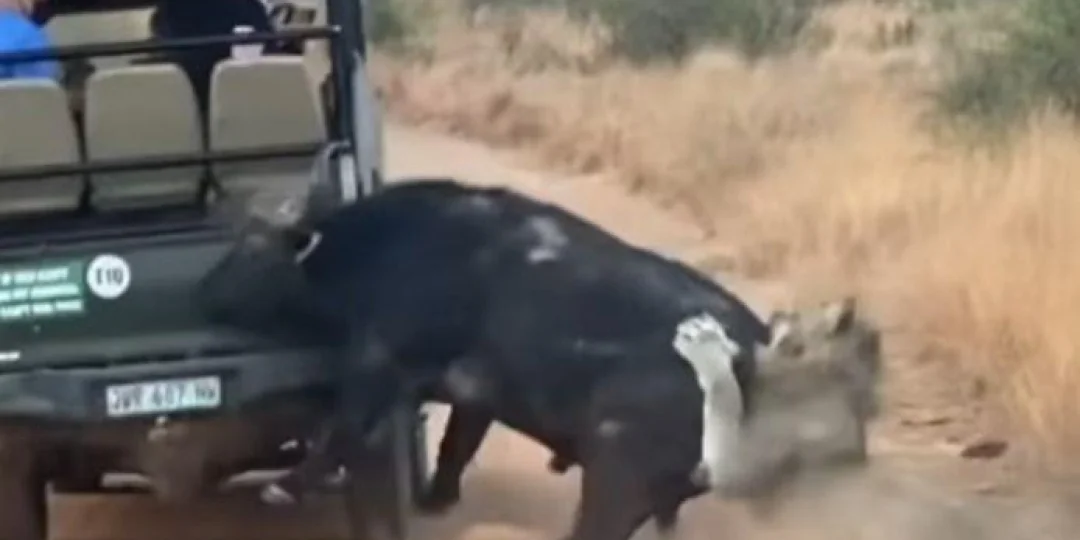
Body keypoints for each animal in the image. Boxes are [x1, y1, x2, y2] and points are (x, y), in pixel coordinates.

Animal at [197, 178, 883, 540]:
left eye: (253, 250)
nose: (203, 290)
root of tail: (754, 354)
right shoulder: (473, 394)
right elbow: (454, 447)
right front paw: (436, 499)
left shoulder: (378, 362)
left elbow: (335, 436)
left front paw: (283, 487)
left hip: (613, 480)